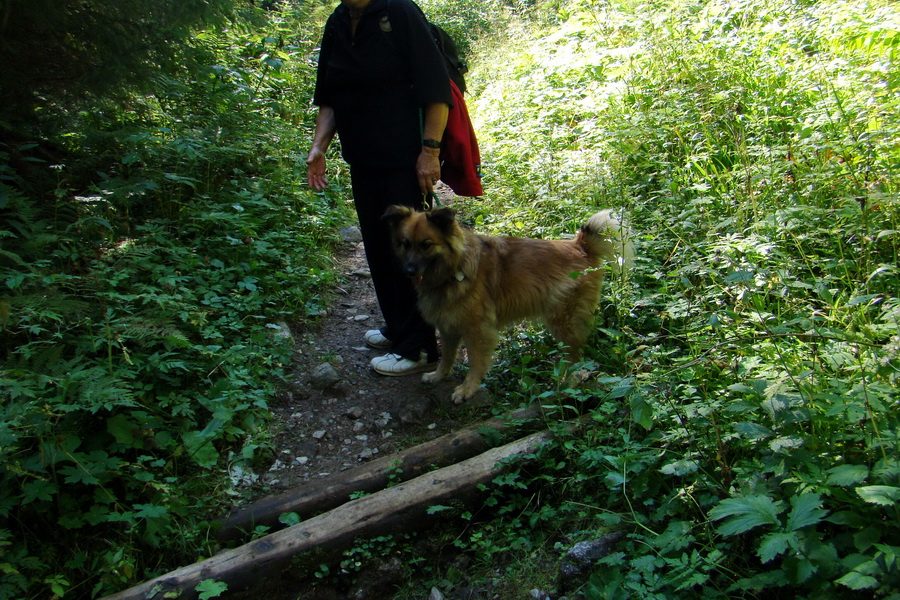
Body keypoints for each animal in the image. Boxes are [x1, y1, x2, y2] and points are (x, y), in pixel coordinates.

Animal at [384, 204, 628, 406]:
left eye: (426, 245)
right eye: (405, 244)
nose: (408, 271)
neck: (455, 268)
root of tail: (581, 246)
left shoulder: (477, 330)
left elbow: (475, 362)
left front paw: (467, 389)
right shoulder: (448, 325)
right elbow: (447, 356)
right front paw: (438, 375)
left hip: (563, 320)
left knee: (575, 356)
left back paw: (569, 384)